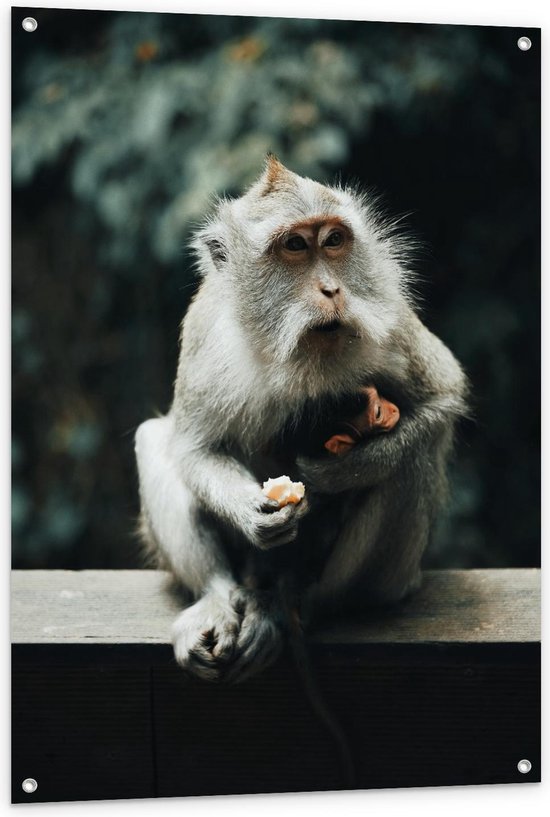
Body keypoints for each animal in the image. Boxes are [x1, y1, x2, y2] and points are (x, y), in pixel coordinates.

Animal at [135, 153, 470, 684]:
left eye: (333, 240)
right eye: (294, 245)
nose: (332, 288)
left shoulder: (389, 315)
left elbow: (443, 396)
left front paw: (339, 472)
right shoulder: (206, 330)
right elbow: (194, 447)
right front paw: (253, 513)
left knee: (412, 460)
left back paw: (302, 603)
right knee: (154, 438)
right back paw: (217, 597)